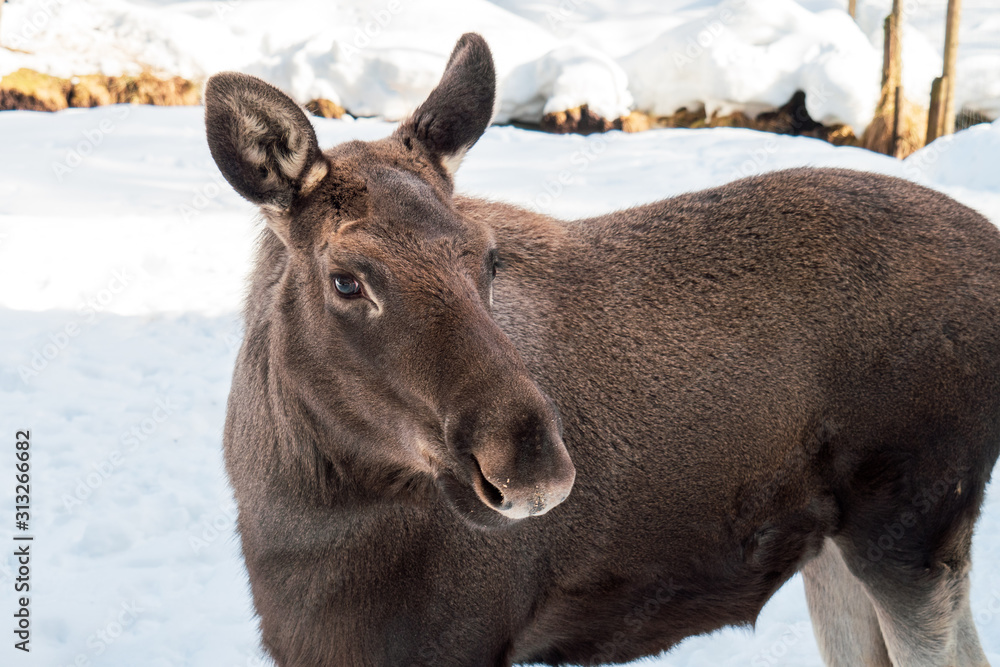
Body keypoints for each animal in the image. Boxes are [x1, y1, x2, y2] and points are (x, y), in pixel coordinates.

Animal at [206, 33, 1000, 667]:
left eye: (487, 257)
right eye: (346, 278)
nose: (531, 465)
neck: (299, 528)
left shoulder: (462, 639)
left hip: (911, 523)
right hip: (836, 545)